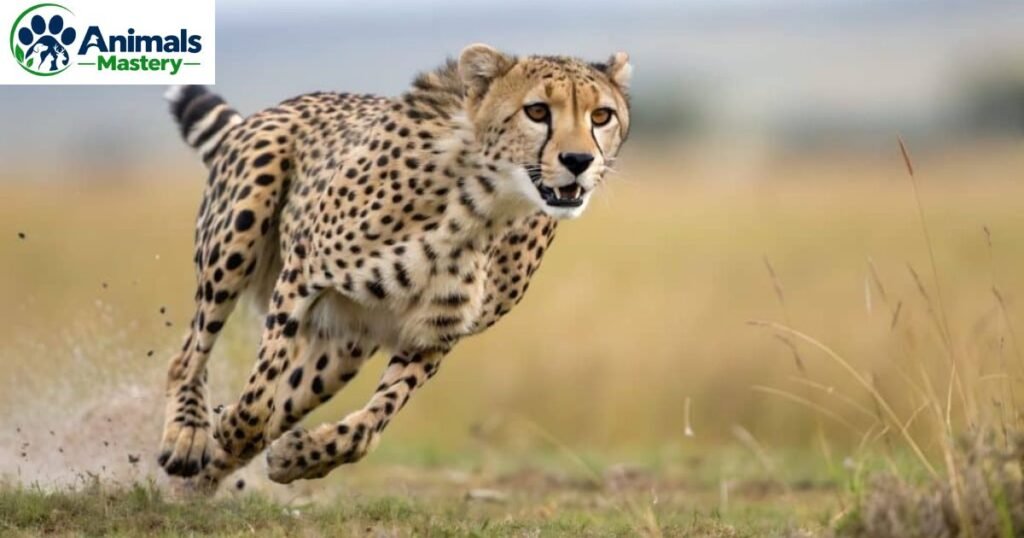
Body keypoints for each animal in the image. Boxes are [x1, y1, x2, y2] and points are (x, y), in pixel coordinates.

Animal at [157, 43, 632, 491]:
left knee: (286, 399)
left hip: (340, 352)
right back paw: (187, 438)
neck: (483, 206)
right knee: (187, 356)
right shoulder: (303, 272)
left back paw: (196, 485)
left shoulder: (434, 333)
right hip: (238, 233)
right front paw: (230, 427)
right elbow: (258, 395)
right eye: (537, 111)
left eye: (601, 116)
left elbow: (367, 427)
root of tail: (281, 106)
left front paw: (298, 456)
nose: (579, 161)